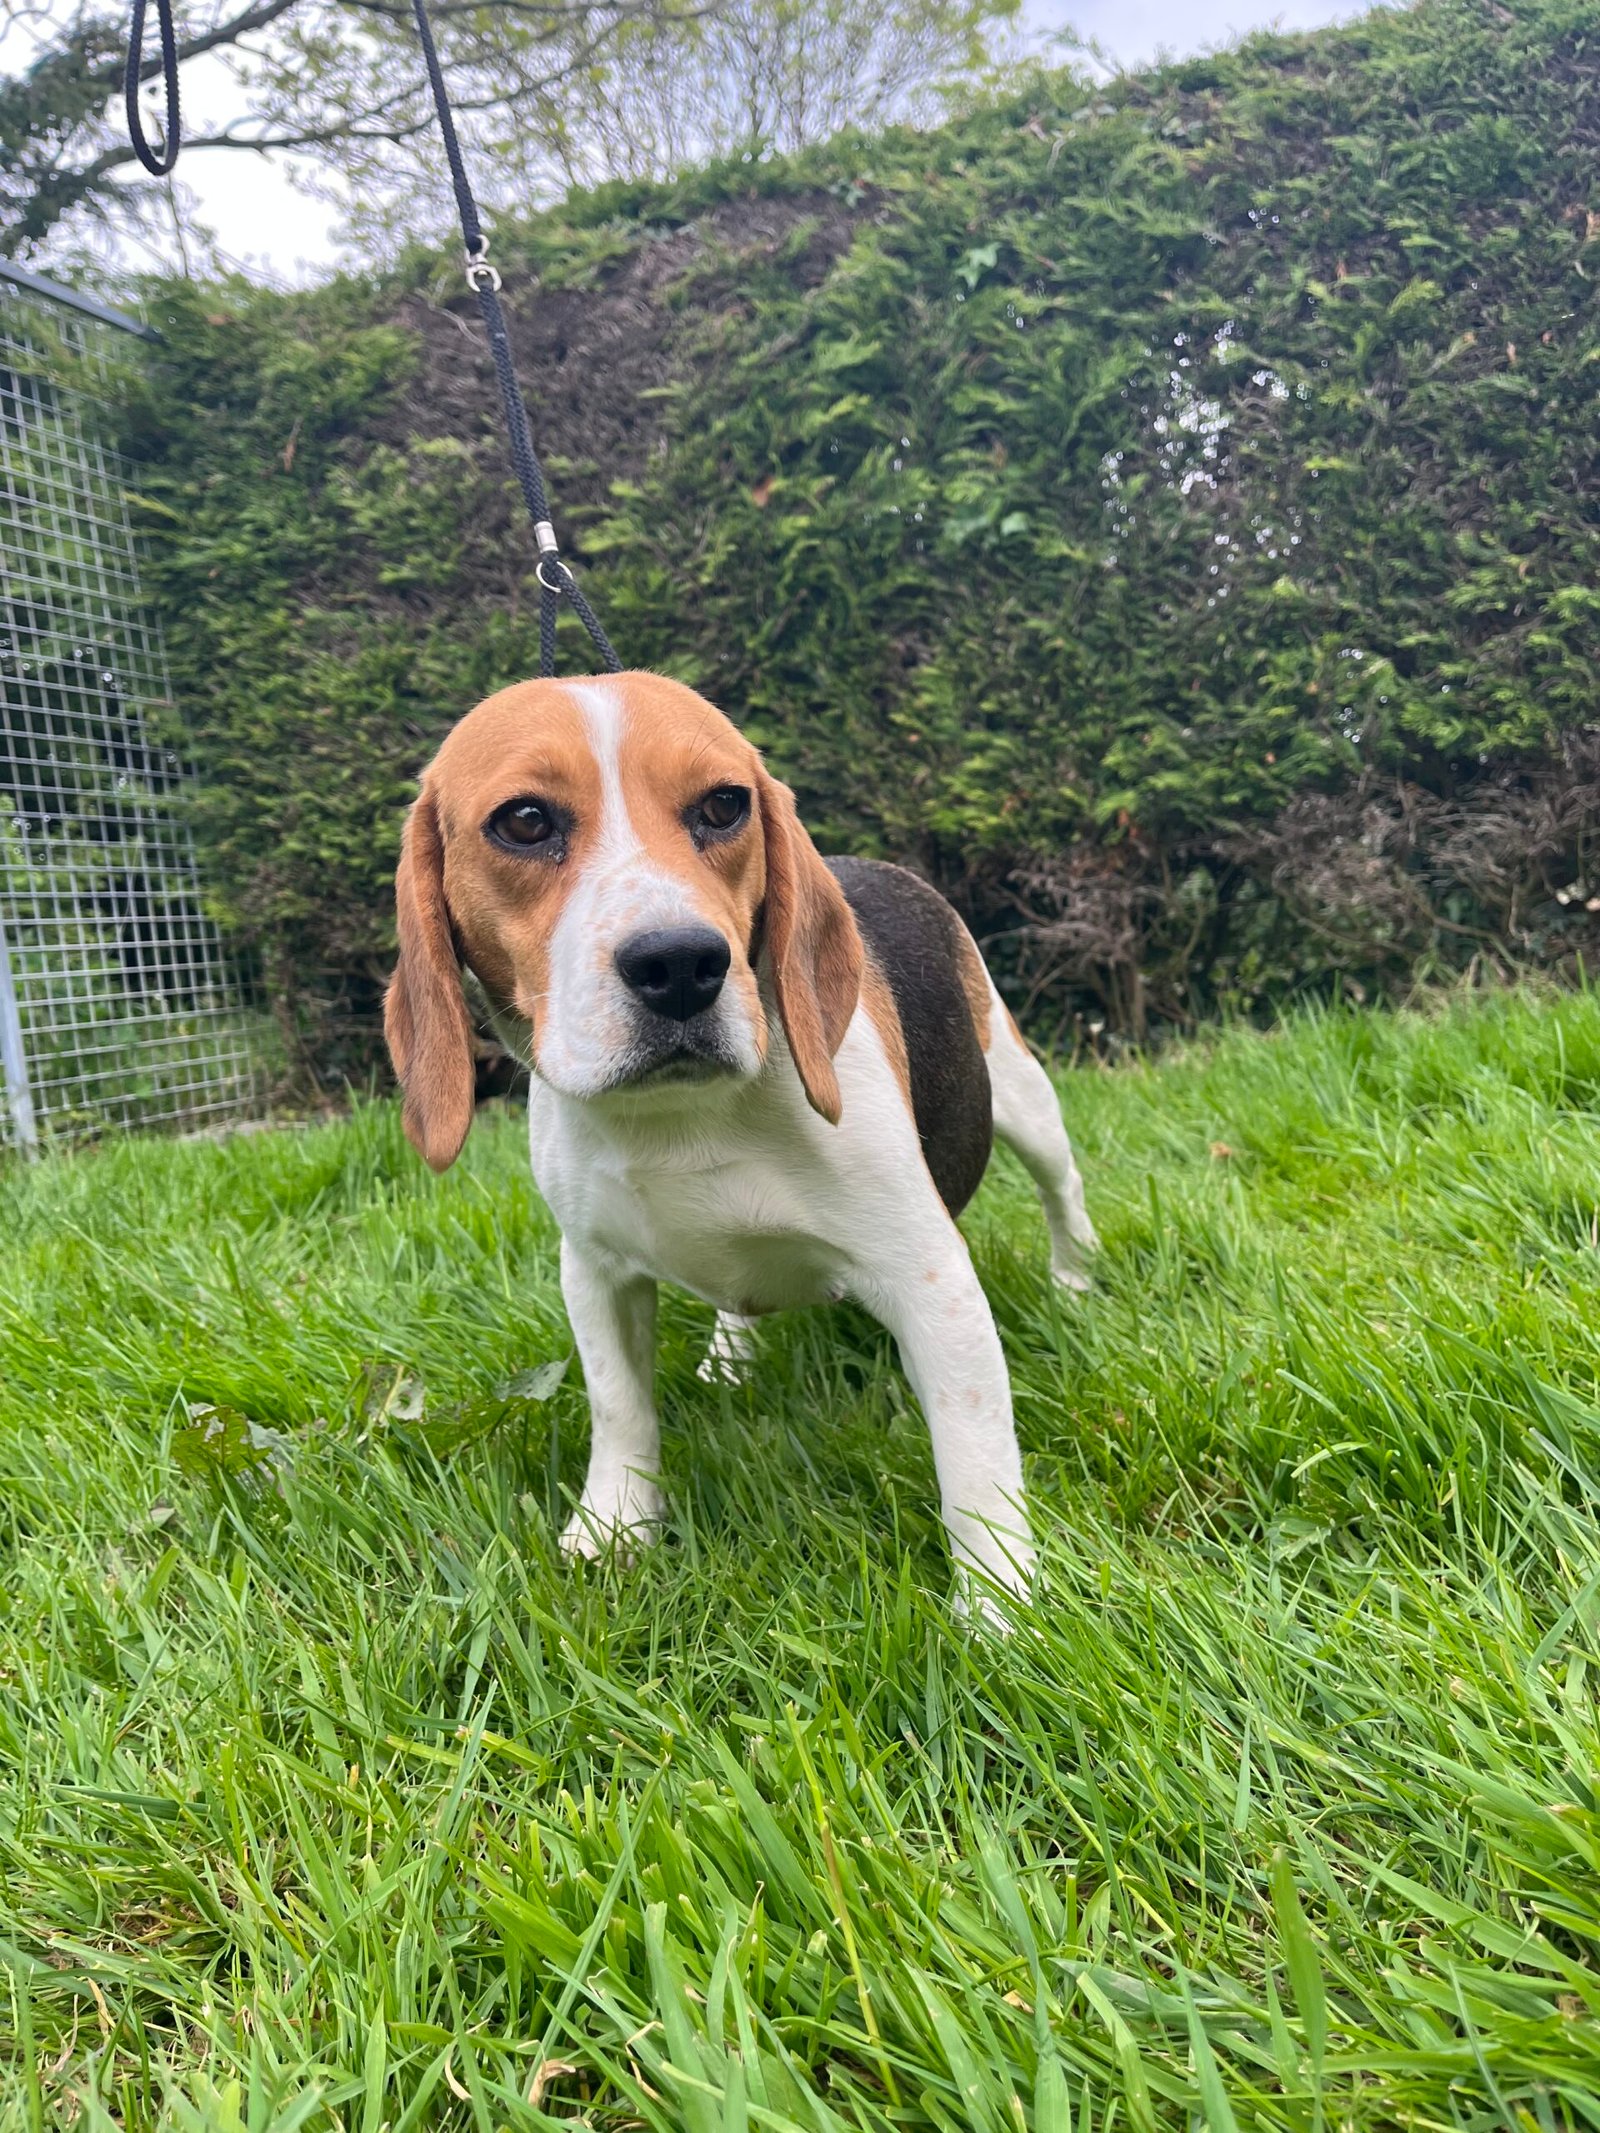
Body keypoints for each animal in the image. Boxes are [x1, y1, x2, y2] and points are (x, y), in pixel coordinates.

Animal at [385, 671, 1097, 1605]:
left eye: (725, 806)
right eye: (526, 821)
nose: (681, 964)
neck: (681, 1116)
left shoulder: (932, 1282)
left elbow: (976, 1463)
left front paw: (1000, 1605)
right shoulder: (593, 1268)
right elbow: (619, 1406)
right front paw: (614, 1527)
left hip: (1022, 1094)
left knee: (1062, 1187)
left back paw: (1076, 1282)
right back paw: (732, 1353)